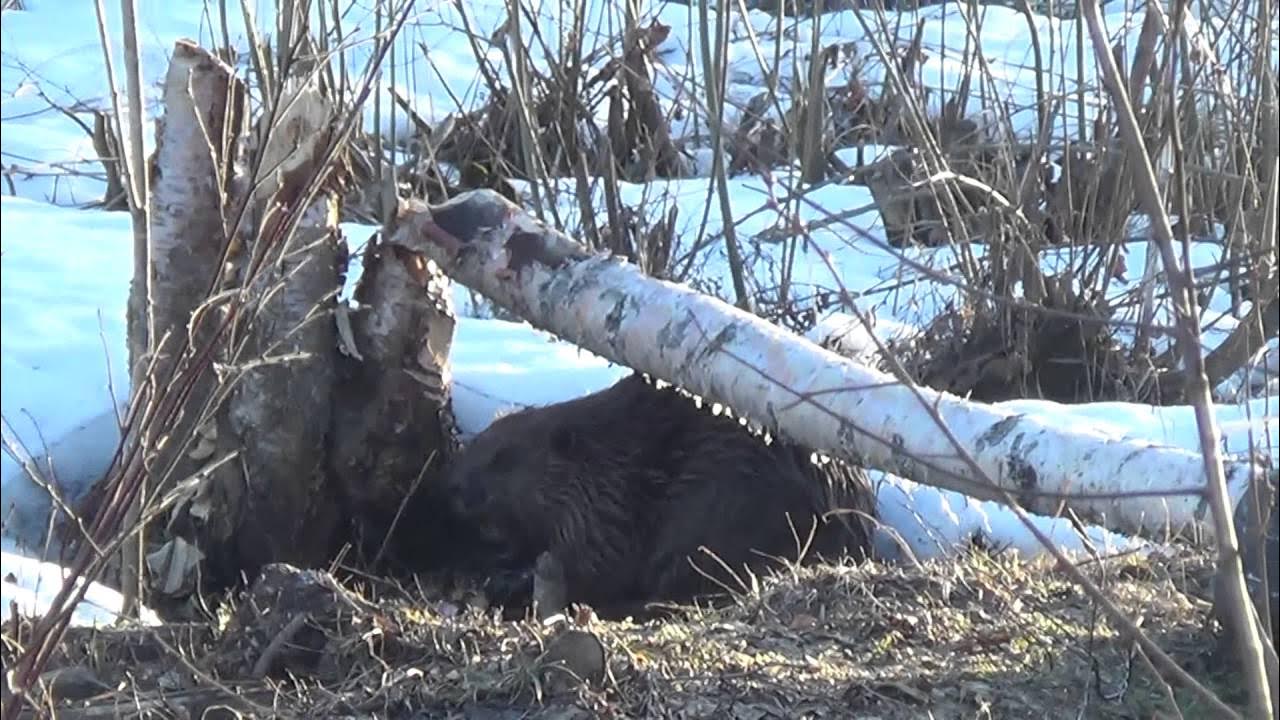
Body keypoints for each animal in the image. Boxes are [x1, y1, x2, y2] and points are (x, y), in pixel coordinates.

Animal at [445, 368, 875, 617]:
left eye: (503, 458)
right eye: (480, 442)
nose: (454, 485)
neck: (608, 456)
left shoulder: (607, 508)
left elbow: (593, 564)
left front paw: (507, 583)